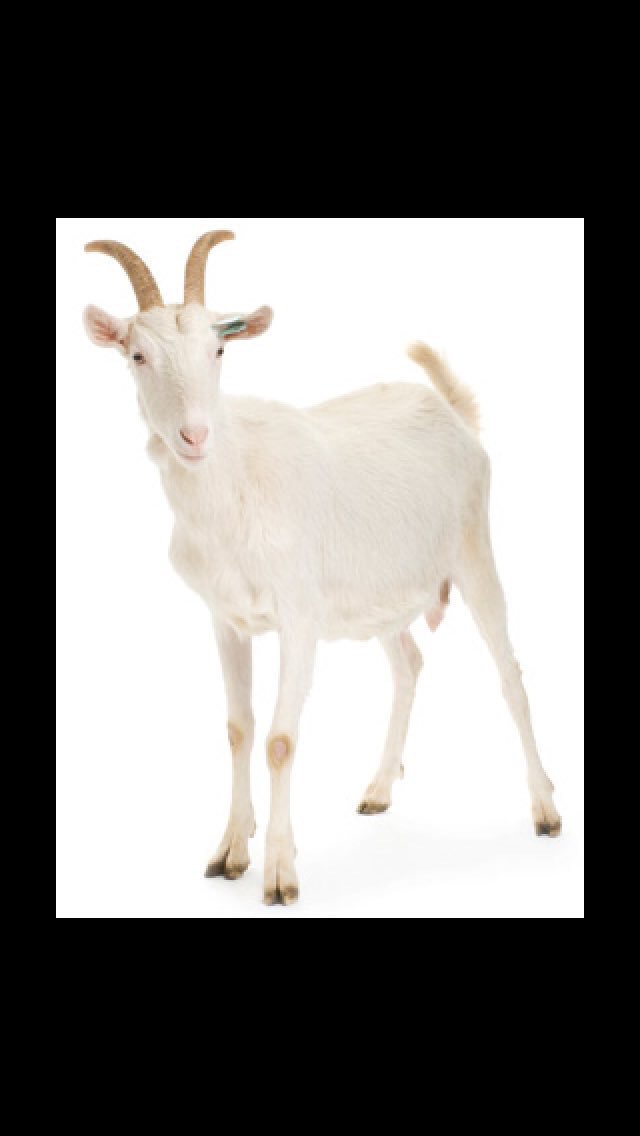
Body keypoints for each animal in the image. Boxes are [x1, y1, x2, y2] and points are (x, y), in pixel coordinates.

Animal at [83, 229, 561, 906]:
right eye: (137, 355)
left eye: (219, 348)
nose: (195, 435)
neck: (235, 482)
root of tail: (450, 409)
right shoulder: (226, 620)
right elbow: (238, 727)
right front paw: (230, 851)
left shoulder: (300, 617)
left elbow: (281, 741)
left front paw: (281, 874)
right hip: (382, 594)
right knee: (409, 664)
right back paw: (379, 789)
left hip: (474, 549)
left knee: (510, 673)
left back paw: (545, 810)